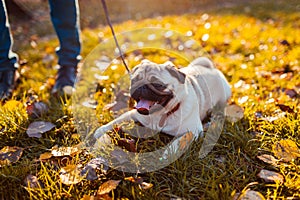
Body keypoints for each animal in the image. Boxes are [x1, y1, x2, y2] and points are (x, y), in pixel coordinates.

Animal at [95, 57, 231, 140]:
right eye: (134, 81)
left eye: (157, 84)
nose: (142, 86)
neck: (159, 115)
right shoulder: (133, 114)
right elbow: (116, 120)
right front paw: (100, 130)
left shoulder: (193, 131)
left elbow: (176, 145)